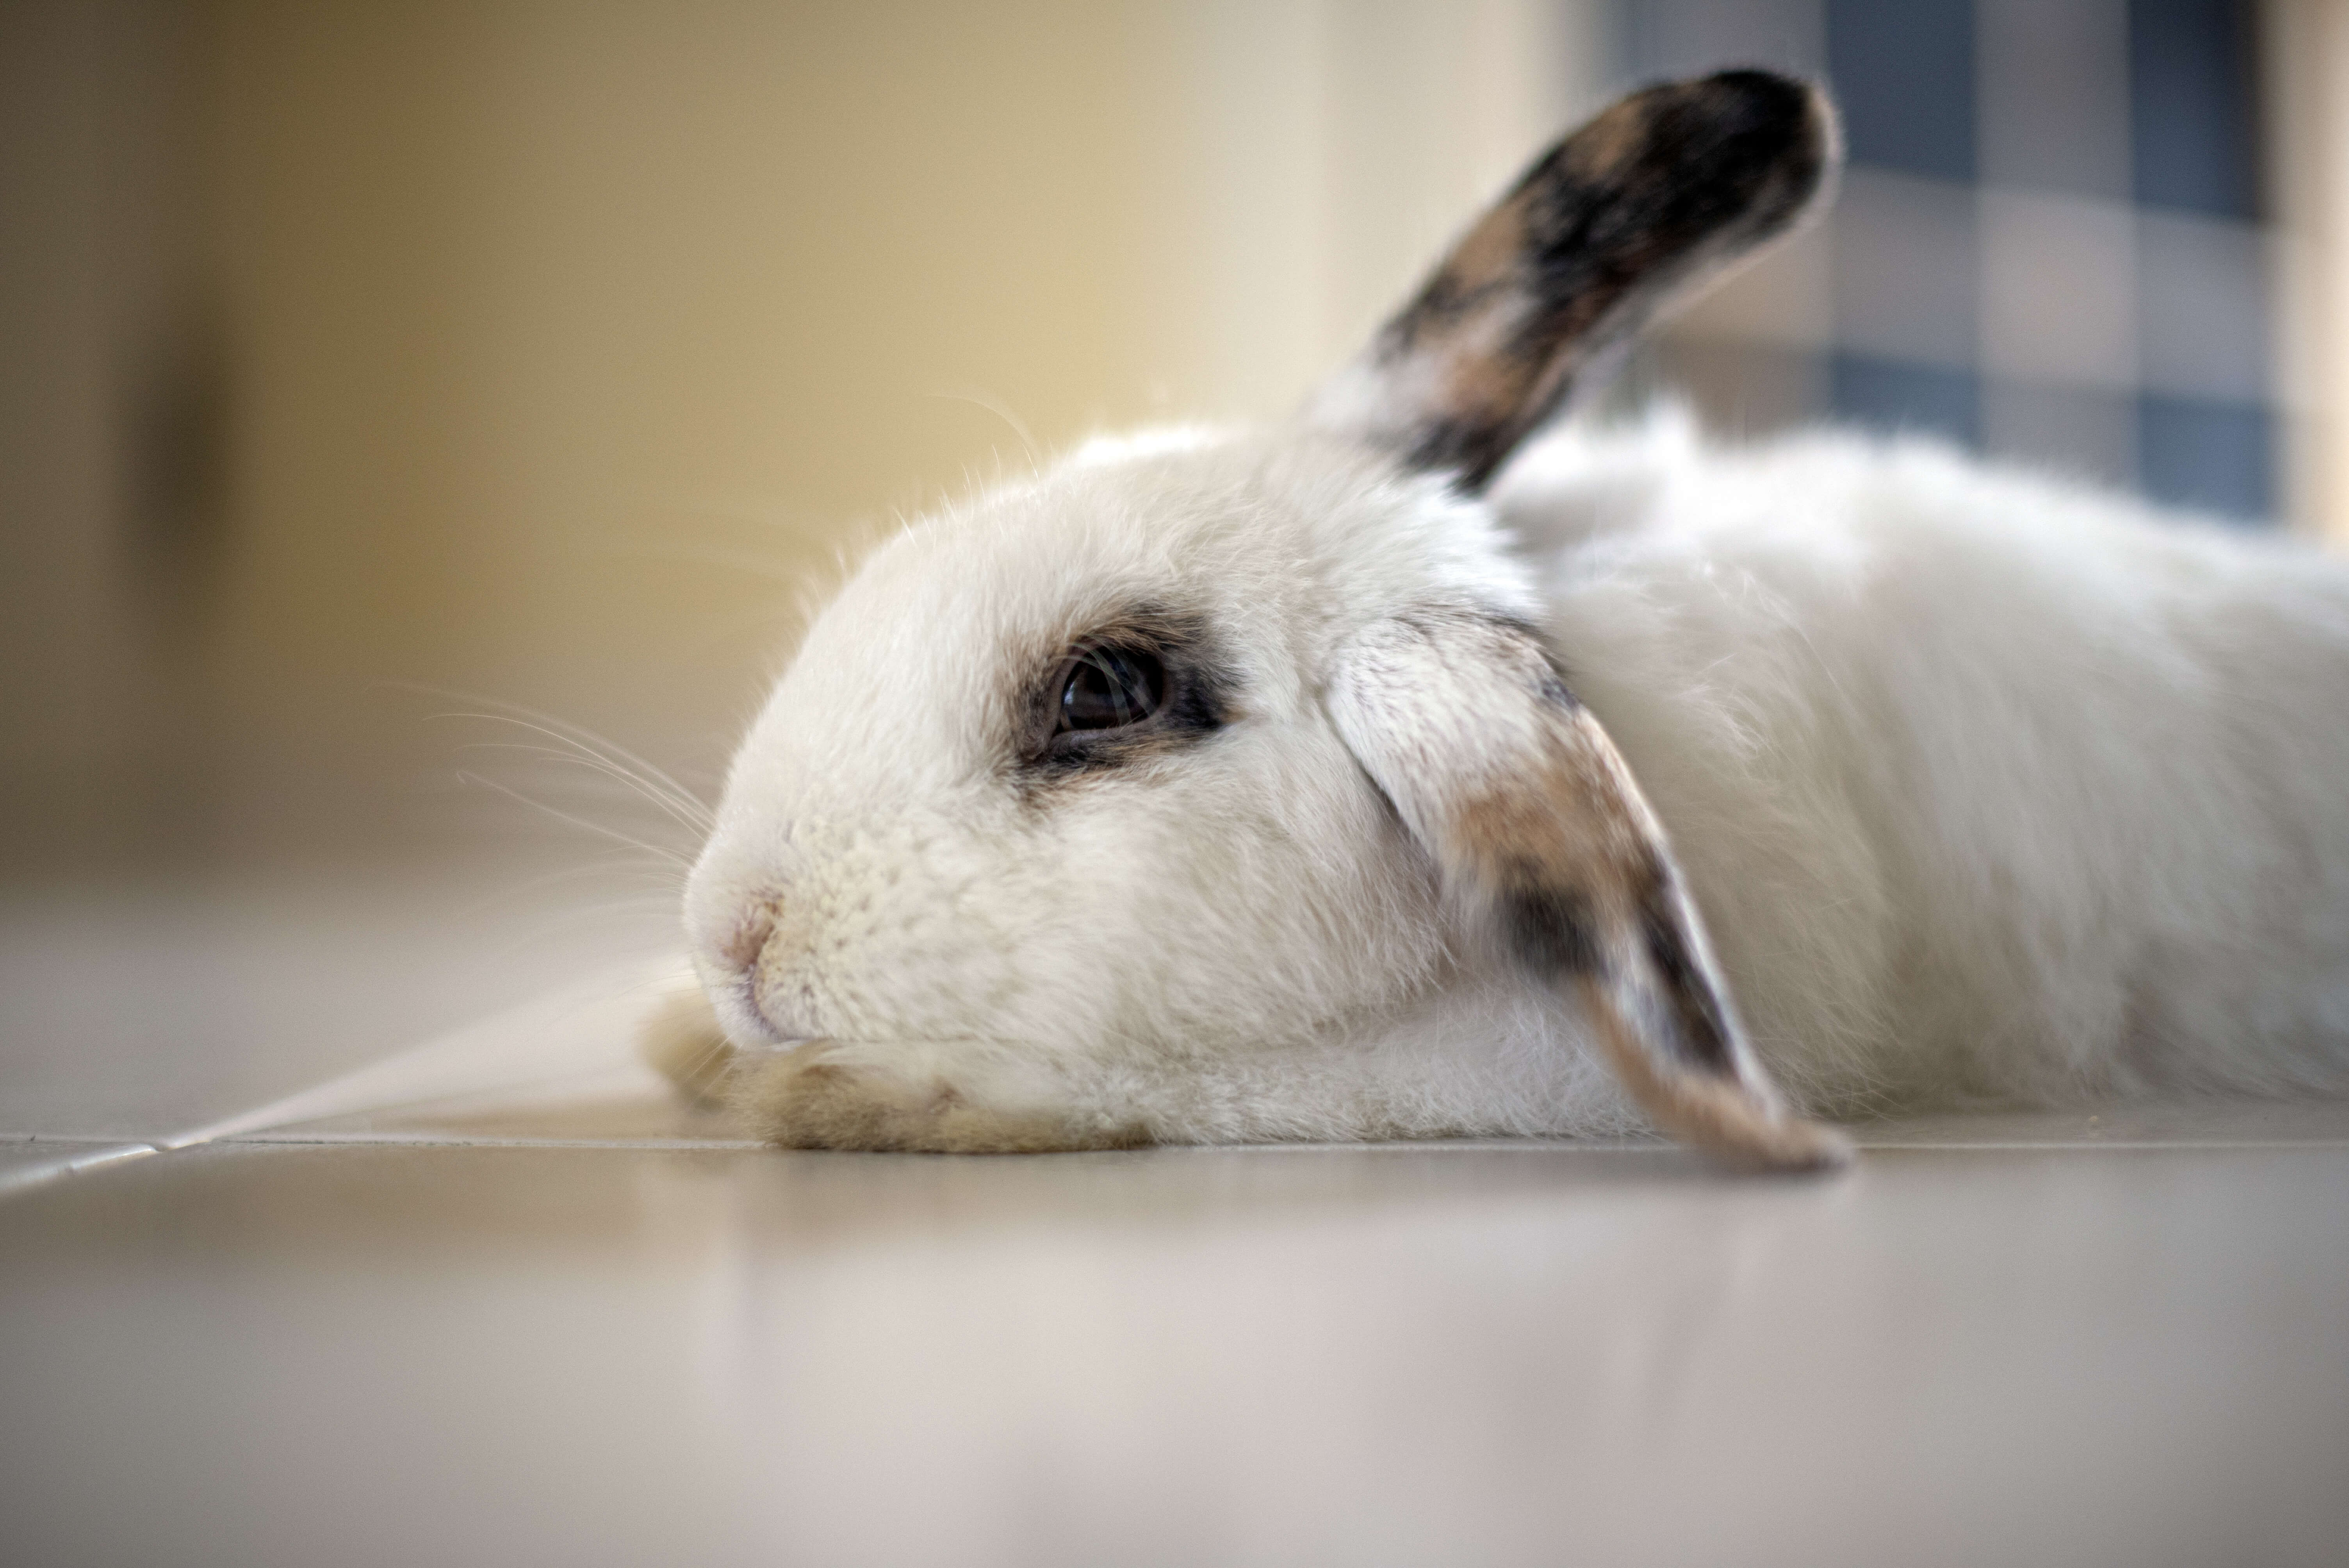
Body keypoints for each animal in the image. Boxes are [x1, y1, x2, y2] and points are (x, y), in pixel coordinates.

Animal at [642, 69, 2349, 1172]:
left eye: (1106, 689)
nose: (732, 931)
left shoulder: (1525, 1062)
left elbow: (1235, 1088)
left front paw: (847, 1094)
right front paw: (681, 1038)